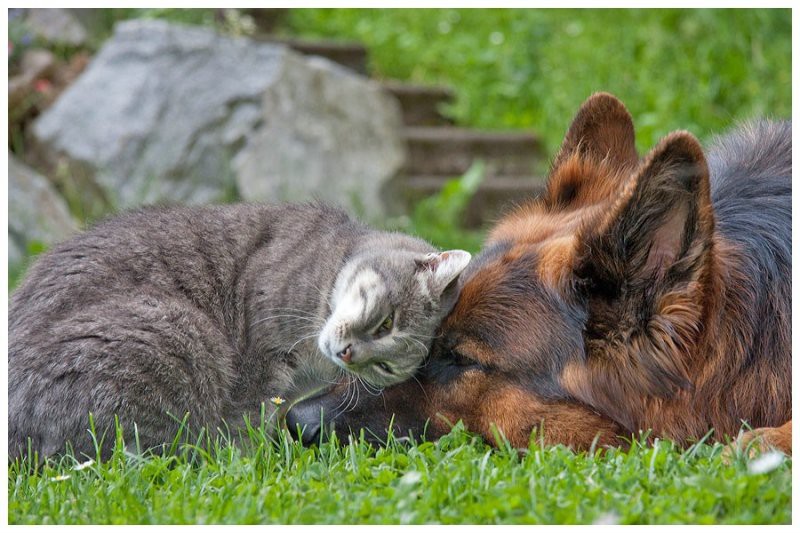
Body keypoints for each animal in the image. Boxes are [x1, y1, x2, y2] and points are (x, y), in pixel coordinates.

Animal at [7, 202, 468, 460]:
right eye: (387, 322)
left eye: (388, 368)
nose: (350, 355)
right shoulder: (256, 365)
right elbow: (242, 426)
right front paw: (249, 465)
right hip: (179, 331)